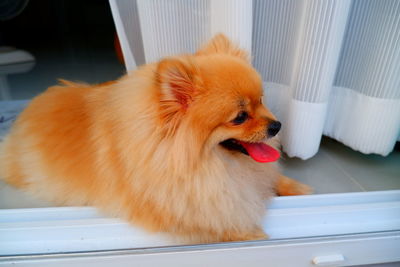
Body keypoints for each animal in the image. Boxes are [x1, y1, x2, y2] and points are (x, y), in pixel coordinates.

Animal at [0, 34, 310, 244]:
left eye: (261, 101)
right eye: (240, 117)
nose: (277, 125)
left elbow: (271, 178)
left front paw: (298, 188)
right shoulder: (177, 206)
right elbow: (219, 221)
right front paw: (254, 234)